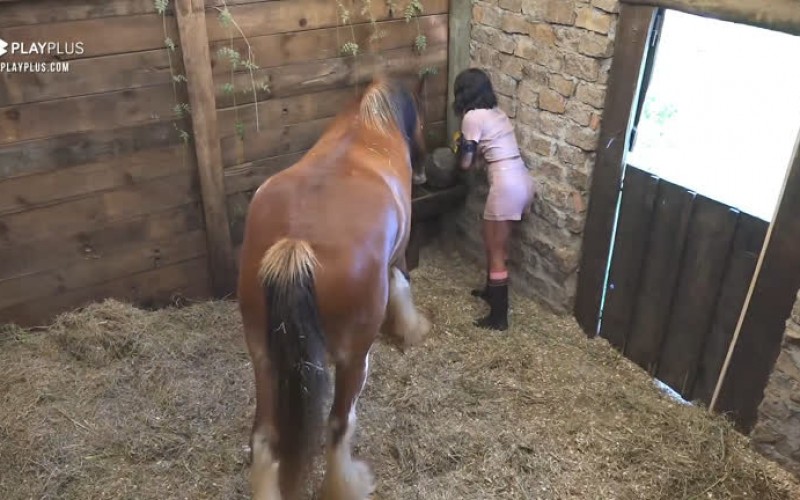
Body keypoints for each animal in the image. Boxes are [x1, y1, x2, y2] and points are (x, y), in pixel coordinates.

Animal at [236, 76, 433, 500]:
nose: (424, 174)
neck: (368, 126)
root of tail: (296, 243)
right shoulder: (399, 254)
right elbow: (402, 286)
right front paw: (412, 329)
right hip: (352, 358)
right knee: (338, 425)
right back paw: (349, 483)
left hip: (262, 355)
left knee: (264, 435)